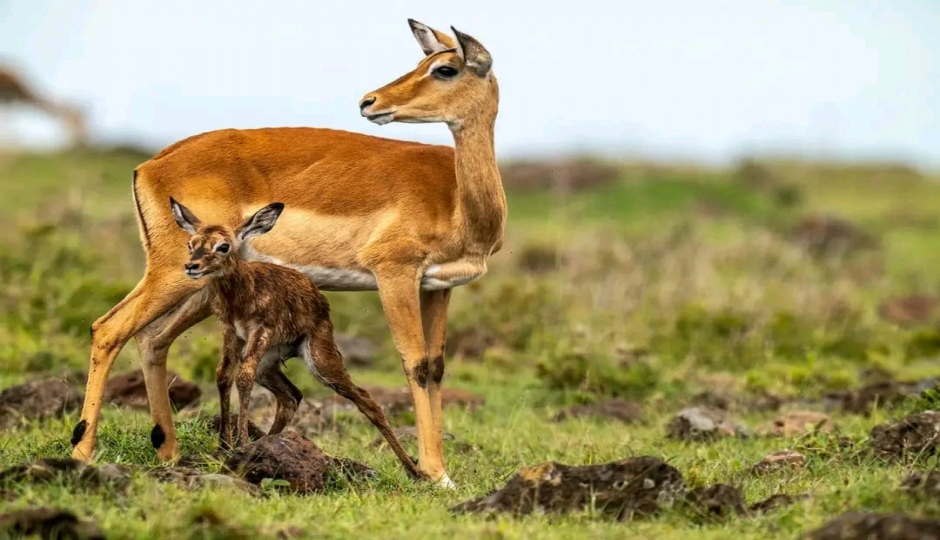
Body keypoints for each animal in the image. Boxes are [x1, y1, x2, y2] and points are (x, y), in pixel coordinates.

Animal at [171, 198, 424, 480]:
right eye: (191, 243)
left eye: (223, 246)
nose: (192, 266)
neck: (243, 291)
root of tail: (319, 298)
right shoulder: (233, 333)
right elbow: (223, 375)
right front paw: (224, 445)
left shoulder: (261, 330)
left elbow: (243, 377)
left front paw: (241, 445)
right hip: (269, 364)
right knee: (292, 396)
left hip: (320, 358)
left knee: (365, 399)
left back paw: (416, 470)